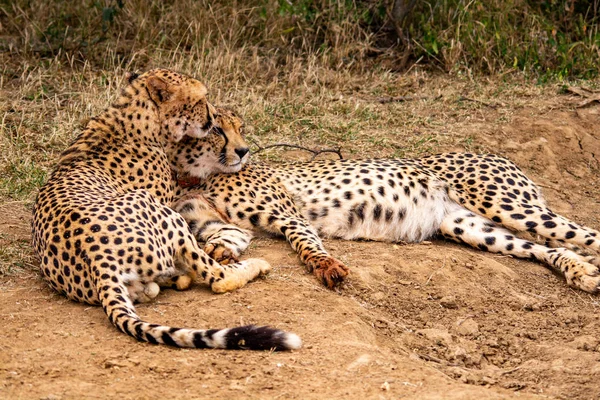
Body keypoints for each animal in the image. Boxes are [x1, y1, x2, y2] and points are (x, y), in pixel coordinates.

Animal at [30, 71, 300, 350]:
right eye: (201, 99)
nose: (213, 114)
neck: (135, 120)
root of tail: (97, 261)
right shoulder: (169, 201)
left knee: (155, 287)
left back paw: (178, 279)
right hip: (158, 209)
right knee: (219, 277)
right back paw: (254, 265)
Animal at [169, 110, 600, 294]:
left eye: (239, 128)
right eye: (215, 128)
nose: (244, 151)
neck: (194, 177)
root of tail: (498, 154)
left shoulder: (289, 215)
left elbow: (306, 244)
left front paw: (328, 268)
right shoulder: (224, 224)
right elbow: (224, 240)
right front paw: (220, 255)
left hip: (508, 205)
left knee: (585, 233)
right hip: (469, 226)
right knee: (549, 247)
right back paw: (582, 273)